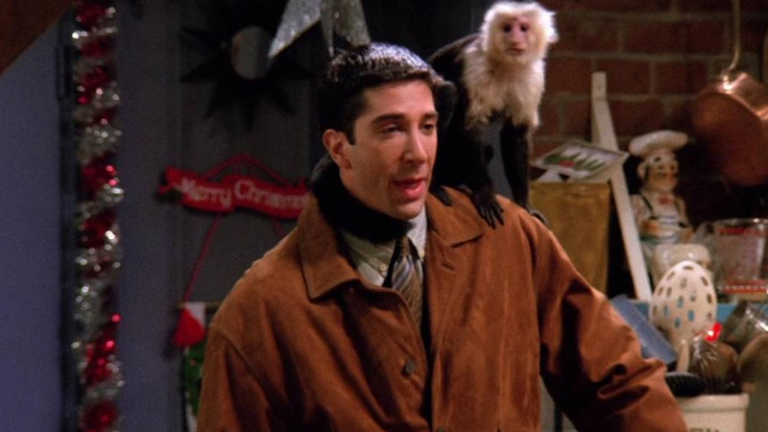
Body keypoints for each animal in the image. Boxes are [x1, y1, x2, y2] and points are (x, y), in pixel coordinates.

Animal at [429, 1, 558, 228]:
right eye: (507, 28)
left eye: (523, 28)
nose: (515, 38)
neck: (506, 63)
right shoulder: (473, 64)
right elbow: (468, 127)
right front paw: (484, 193)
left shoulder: (534, 77)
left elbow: (515, 134)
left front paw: (523, 203)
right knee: (448, 93)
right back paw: (435, 183)